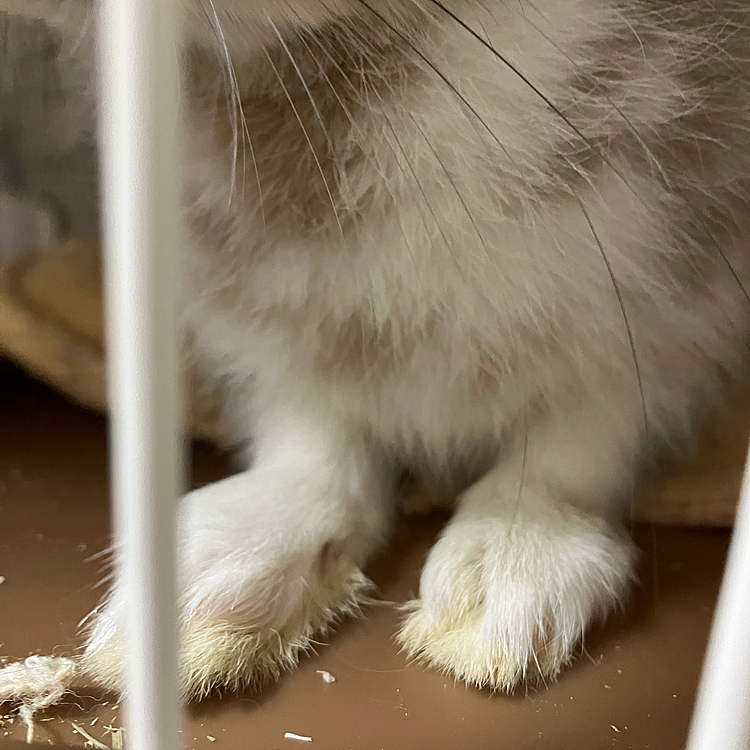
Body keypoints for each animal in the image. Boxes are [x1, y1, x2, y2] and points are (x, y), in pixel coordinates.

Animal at [2, 0, 748, 700]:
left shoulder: (663, 320)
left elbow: (579, 442)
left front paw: (503, 584)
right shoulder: (276, 339)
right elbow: (317, 446)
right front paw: (200, 589)